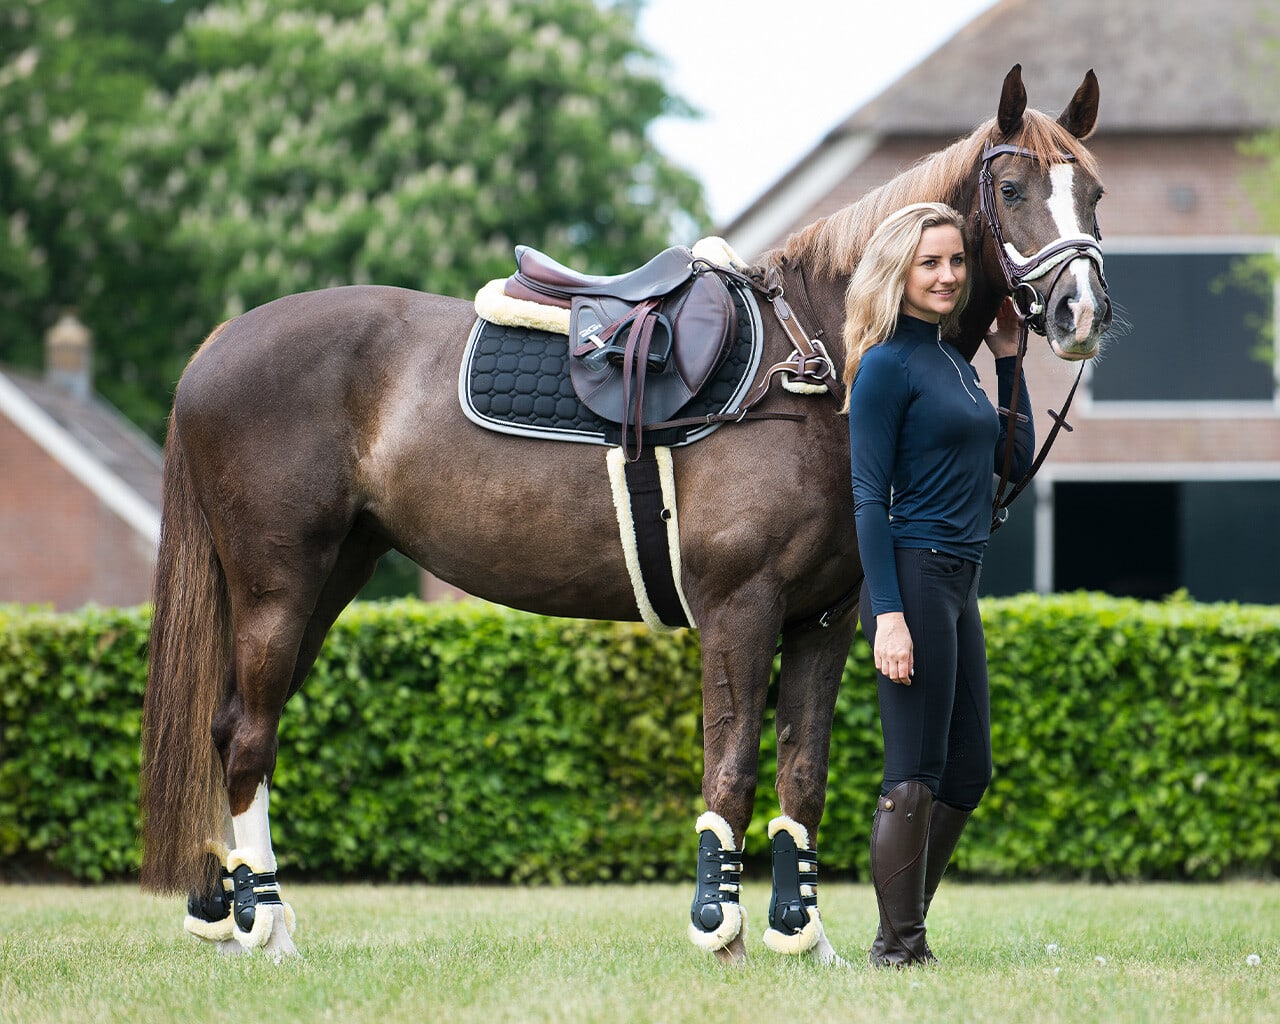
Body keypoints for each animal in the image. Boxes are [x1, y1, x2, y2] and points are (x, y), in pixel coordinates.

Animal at [142, 67, 1111, 962]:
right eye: (1013, 189)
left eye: (1094, 193)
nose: (1081, 312)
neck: (813, 368)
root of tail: (217, 346)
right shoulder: (740, 609)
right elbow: (732, 771)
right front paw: (721, 930)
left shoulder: (825, 620)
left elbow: (804, 777)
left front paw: (806, 939)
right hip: (279, 583)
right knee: (248, 737)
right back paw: (266, 926)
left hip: (329, 574)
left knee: (229, 725)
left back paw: (224, 912)